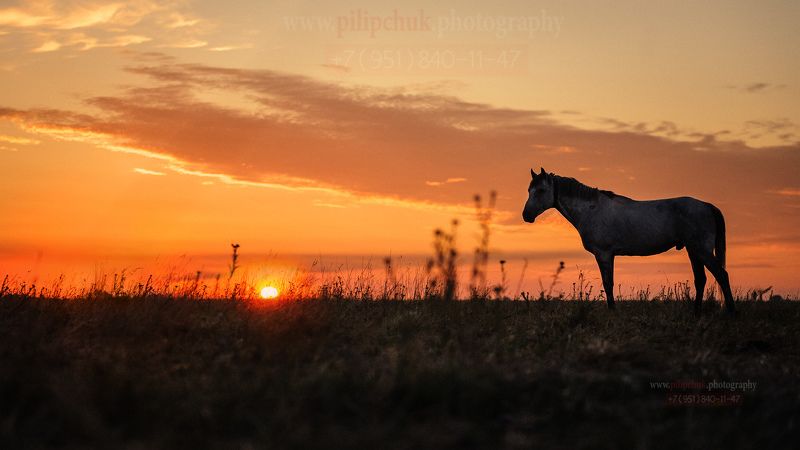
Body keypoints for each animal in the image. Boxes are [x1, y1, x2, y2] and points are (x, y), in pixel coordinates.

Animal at [522, 168, 735, 314]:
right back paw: (696, 313)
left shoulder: (604, 254)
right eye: (529, 190)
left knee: (721, 275)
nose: (526, 215)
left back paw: (731, 312)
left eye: (541, 190)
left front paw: (612, 311)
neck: (592, 210)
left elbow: (608, 283)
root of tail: (707, 206)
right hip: (693, 250)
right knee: (701, 280)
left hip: (701, 250)